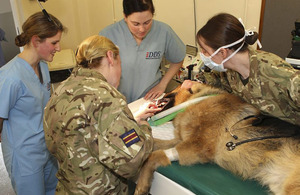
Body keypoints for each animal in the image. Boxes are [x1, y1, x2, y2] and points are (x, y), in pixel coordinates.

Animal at [135, 82, 300, 195]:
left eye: (173, 88)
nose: (156, 95)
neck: (197, 100)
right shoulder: (181, 141)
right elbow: (155, 144)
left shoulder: (196, 146)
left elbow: (154, 156)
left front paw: (141, 185)